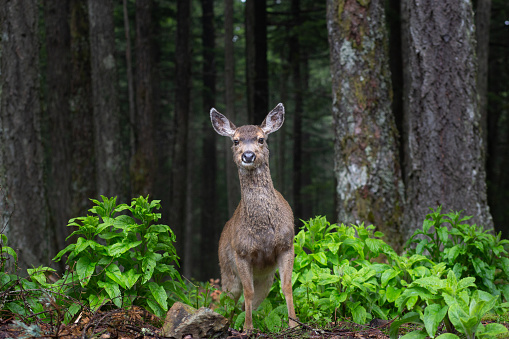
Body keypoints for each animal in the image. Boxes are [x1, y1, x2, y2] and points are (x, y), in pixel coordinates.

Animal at [210, 103, 298, 332]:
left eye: (261, 139)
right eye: (235, 140)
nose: (248, 156)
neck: (263, 232)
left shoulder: (286, 245)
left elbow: (287, 286)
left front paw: (294, 324)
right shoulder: (241, 252)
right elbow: (247, 293)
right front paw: (248, 328)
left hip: (265, 278)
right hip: (226, 269)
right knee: (227, 300)